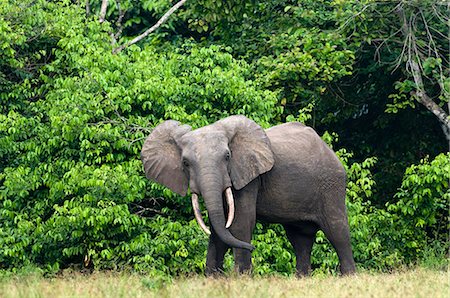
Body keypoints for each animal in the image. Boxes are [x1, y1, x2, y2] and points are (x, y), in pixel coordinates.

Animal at [141, 115, 356, 276]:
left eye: (227, 157)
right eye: (185, 163)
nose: (252, 248)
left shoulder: (248, 177)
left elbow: (240, 222)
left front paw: (241, 278)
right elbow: (220, 226)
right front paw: (212, 279)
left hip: (331, 184)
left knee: (337, 231)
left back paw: (348, 277)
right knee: (300, 238)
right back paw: (301, 279)